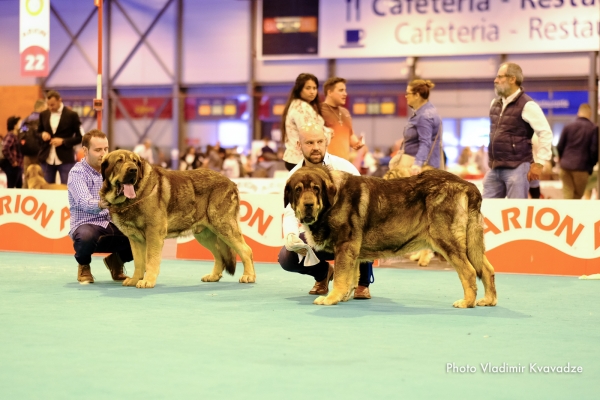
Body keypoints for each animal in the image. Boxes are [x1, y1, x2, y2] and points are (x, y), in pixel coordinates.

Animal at [101, 150, 255, 288]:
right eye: (119, 161)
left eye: (134, 162)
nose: (133, 170)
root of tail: (231, 182)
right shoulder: (134, 238)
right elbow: (139, 262)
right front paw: (134, 280)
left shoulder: (153, 234)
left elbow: (151, 260)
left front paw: (147, 281)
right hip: (206, 234)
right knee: (219, 255)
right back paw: (213, 276)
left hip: (223, 226)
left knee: (246, 250)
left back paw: (249, 276)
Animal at [286, 165, 496, 306]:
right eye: (298, 190)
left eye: (316, 189)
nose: (308, 205)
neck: (332, 200)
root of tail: (468, 186)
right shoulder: (352, 252)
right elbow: (351, 276)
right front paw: (344, 296)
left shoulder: (345, 247)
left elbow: (340, 276)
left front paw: (331, 298)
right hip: (470, 244)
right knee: (487, 269)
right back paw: (488, 300)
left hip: (448, 241)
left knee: (469, 271)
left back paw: (467, 302)